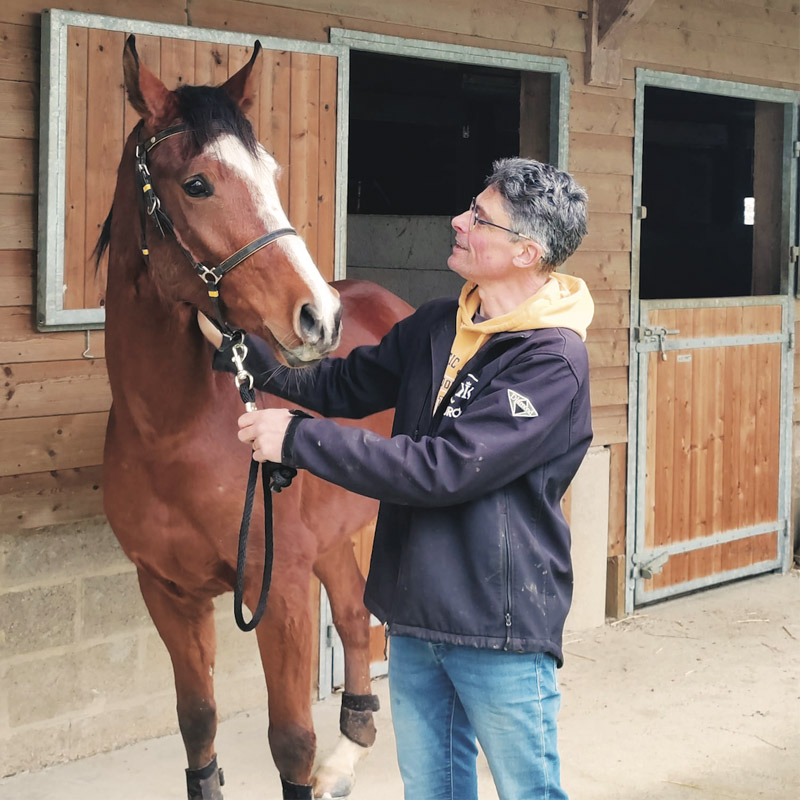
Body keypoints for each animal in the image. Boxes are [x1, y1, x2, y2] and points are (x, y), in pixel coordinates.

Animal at [99, 35, 411, 800]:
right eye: (197, 184)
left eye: (270, 171)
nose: (319, 317)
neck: (171, 432)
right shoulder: (169, 592)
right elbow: (198, 724)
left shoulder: (281, 591)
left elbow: (290, 740)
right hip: (331, 536)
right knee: (355, 619)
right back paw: (350, 754)